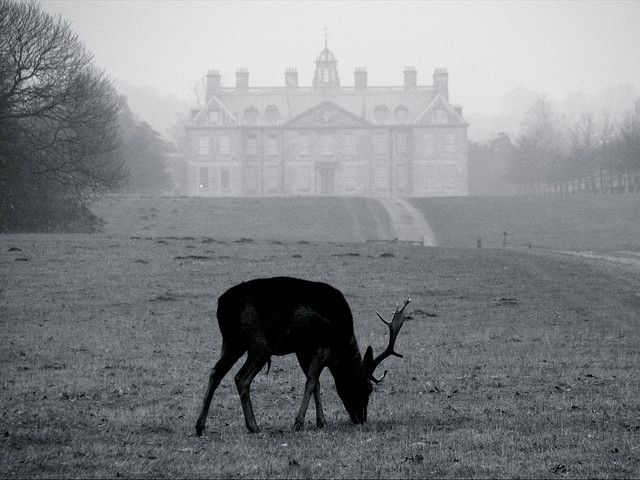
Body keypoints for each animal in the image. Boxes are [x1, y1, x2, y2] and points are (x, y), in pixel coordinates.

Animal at [195, 276, 410, 435]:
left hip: (231, 342)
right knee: (241, 377)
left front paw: (321, 422)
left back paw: (199, 426)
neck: (343, 344)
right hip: (260, 344)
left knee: (215, 372)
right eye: (368, 388)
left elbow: (316, 383)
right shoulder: (324, 345)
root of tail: (223, 306)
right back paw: (254, 426)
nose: (361, 419)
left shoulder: (303, 350)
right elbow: (312, 380)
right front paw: (298, 423)